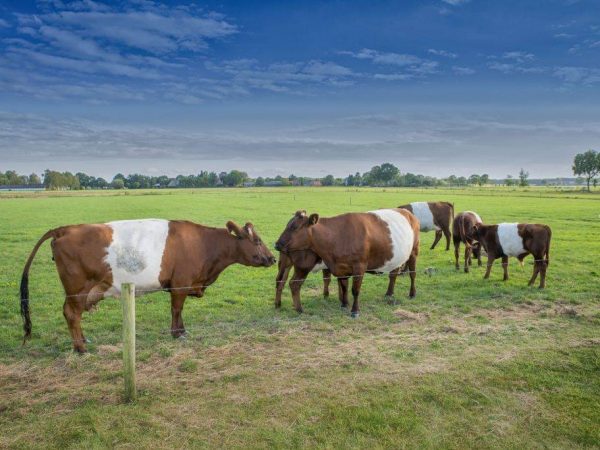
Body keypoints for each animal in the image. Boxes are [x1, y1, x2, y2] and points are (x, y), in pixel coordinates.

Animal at [18, 220, 276, 354]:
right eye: (256, 241)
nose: (272, 258)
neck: (205, 245)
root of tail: (66, 228)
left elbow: (178, 310)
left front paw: (181, 331)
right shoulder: (181, 284)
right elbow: (177, 309)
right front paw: (178, 333)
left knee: (72, 314)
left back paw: (84, 341)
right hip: (77, 288)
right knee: (72, 313)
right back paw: (80, 348)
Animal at [276, 208, 420, 316]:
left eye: (294, 227)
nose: (276, 244)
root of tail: (408, 212)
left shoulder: (359, 266)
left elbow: (355, 290)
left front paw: (354, 310)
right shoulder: (340, 267)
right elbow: (344, 286)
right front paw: (344, 304)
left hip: (414, 251)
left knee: (412, 273)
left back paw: (412, 294)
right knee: (393, 274)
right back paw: (389, 293)